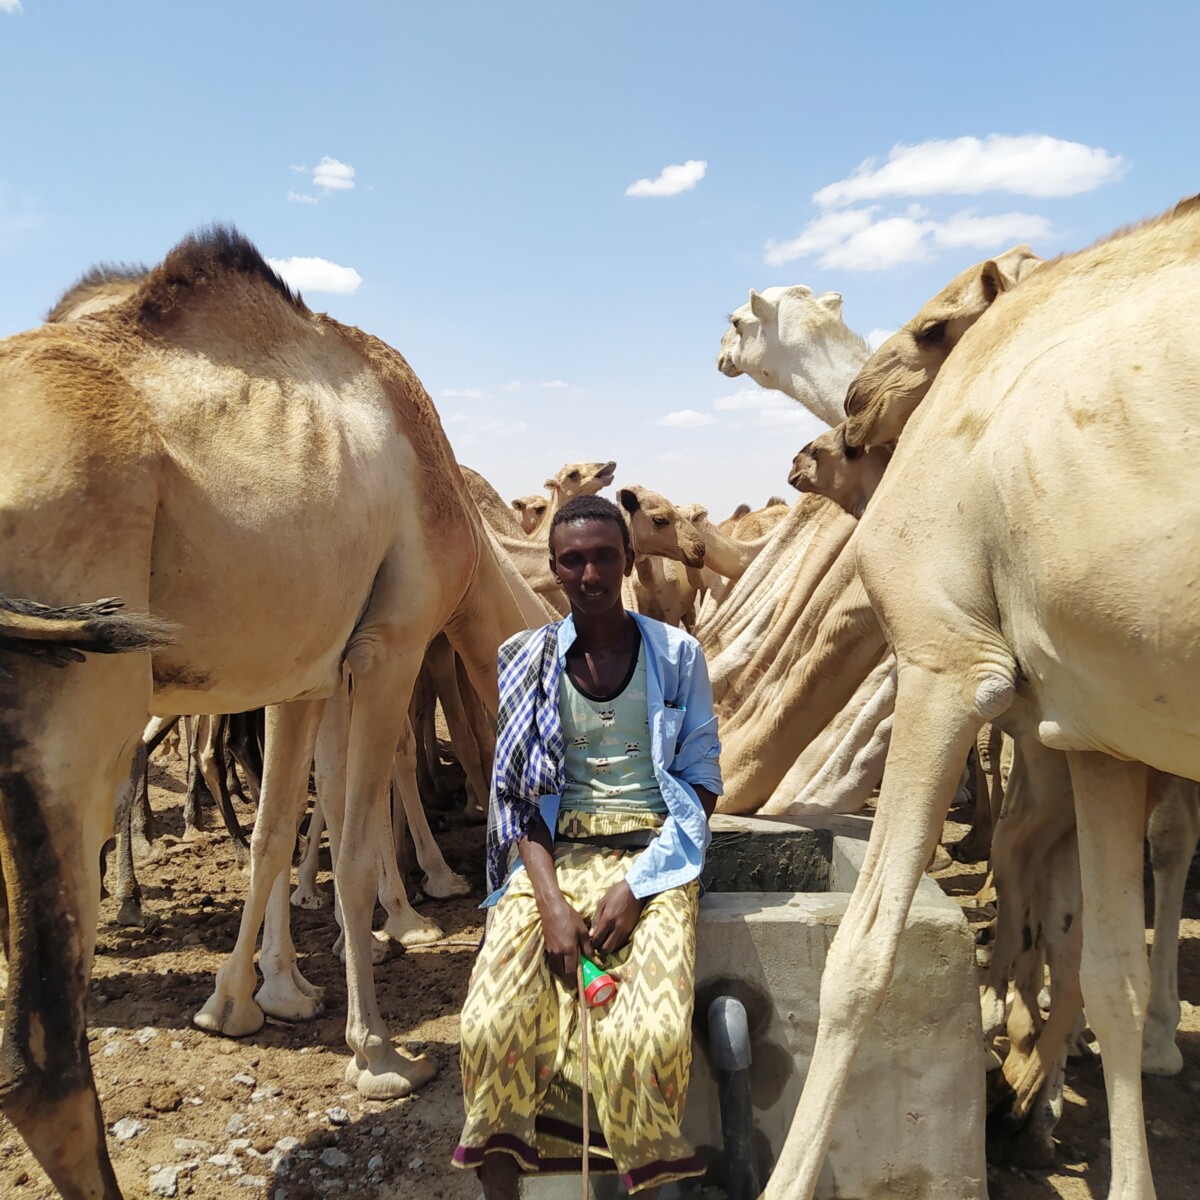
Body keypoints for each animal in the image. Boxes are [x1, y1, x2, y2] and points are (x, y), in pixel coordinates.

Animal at [0, 226, 535, 1200]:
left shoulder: (304, 673)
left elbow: (275, 830)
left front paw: (251, 1001)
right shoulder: (393, 640)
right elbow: (353, 844)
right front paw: (380, 1055)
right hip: (77, 697)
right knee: (39, 1056)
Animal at [768, 192, 1200, 1195]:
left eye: (934, 326)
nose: (842, 421)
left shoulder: (951, 661)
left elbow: (860, 954)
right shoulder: (1099, 726)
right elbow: (1106, 966)